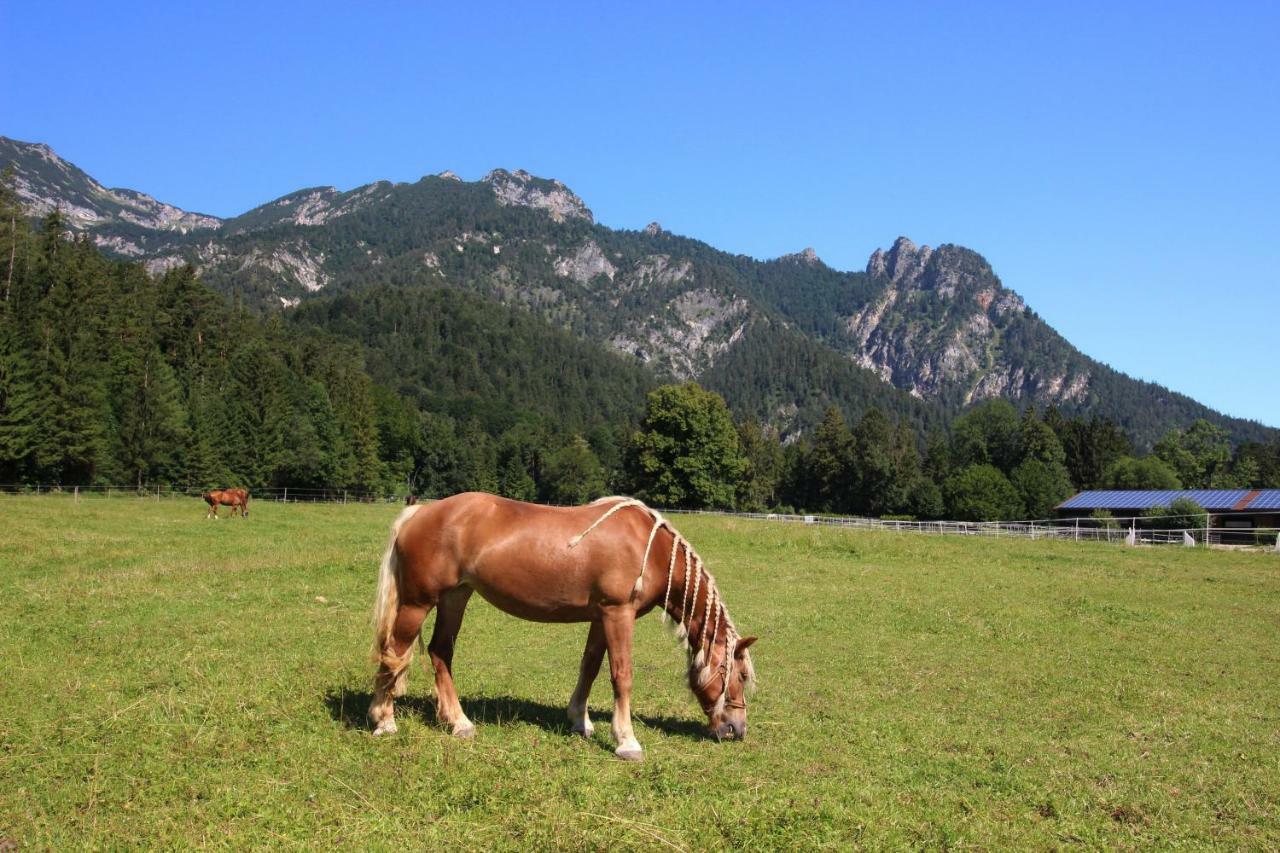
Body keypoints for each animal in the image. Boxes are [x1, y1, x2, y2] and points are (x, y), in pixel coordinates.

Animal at [366, 489, 752, 758]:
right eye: (739, 674)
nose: (737, 729)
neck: (651, 548)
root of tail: (419, 512)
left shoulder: (601, 617)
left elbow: (590, 667)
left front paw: (580, 720)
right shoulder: (618, 613)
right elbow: (621, 675)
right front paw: (626, 741)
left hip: (455, 597)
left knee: (440, 652)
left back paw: (458, 723)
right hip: (417, 603)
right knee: (394, 653)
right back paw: (384, 720)